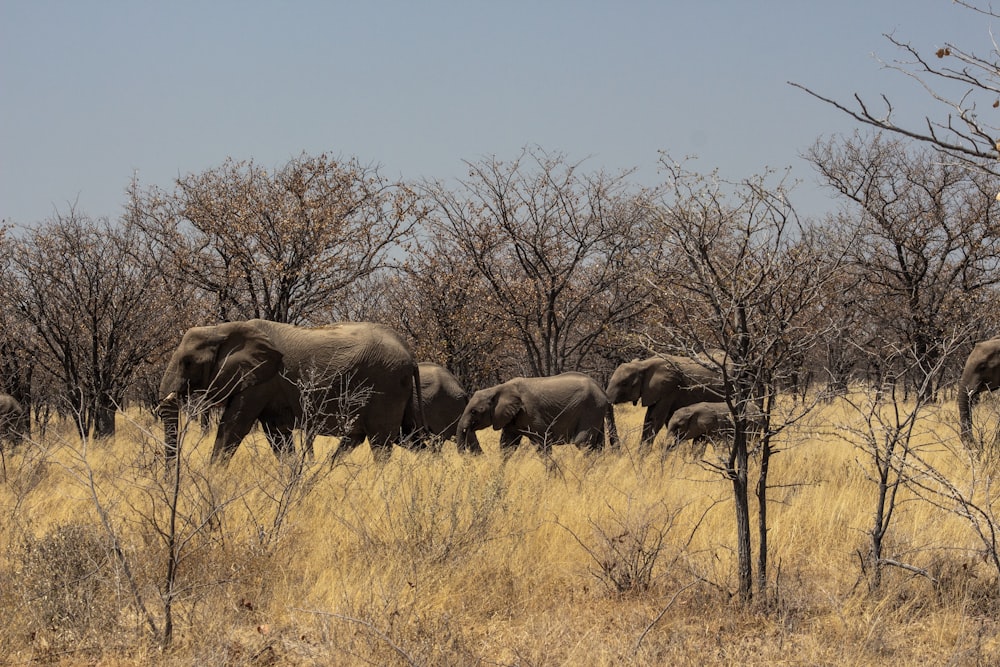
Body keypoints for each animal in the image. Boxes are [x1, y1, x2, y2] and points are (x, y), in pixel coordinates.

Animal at [155, 320, 418, 468]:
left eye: (188, 363)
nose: (170, 478)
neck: (221, 329)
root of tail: (409, 353)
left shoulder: (260, 381)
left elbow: (233, 426)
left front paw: (212, 475)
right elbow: (277, 435)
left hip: (386, 385)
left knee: (380, 443)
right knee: (354, 439)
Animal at [456, 374, 608, 456]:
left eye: (474, 411)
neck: (498, 388)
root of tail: (601, 390)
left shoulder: (531, 412)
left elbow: (542, 442)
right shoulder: (512, 418)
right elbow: (507, 446)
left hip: (591, 410)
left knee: (582, 443)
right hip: (596, 413)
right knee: (597, 445)